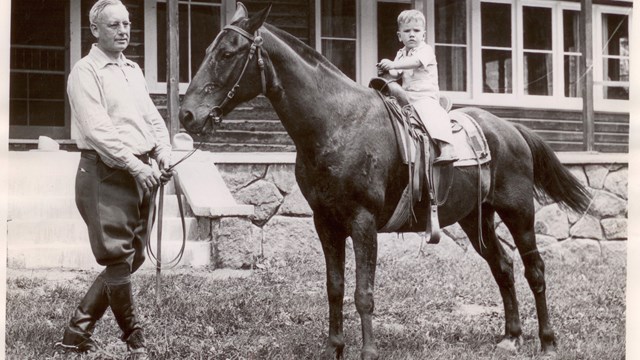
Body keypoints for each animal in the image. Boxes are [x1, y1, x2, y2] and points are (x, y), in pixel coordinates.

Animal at [179, 3, 592, 360]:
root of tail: (512, 130)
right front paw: (334, 348)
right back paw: (511, 337)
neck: (336, 123)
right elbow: (334, 287)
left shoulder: (363, 223)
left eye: (228, 53)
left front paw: (368, 351)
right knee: (502, 266)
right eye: (208, 49)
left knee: (534, 270)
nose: (187, 115)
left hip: (519, 213)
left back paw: (548, 341)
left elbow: (364, 292)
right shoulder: (325, 223)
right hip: (476, 218)